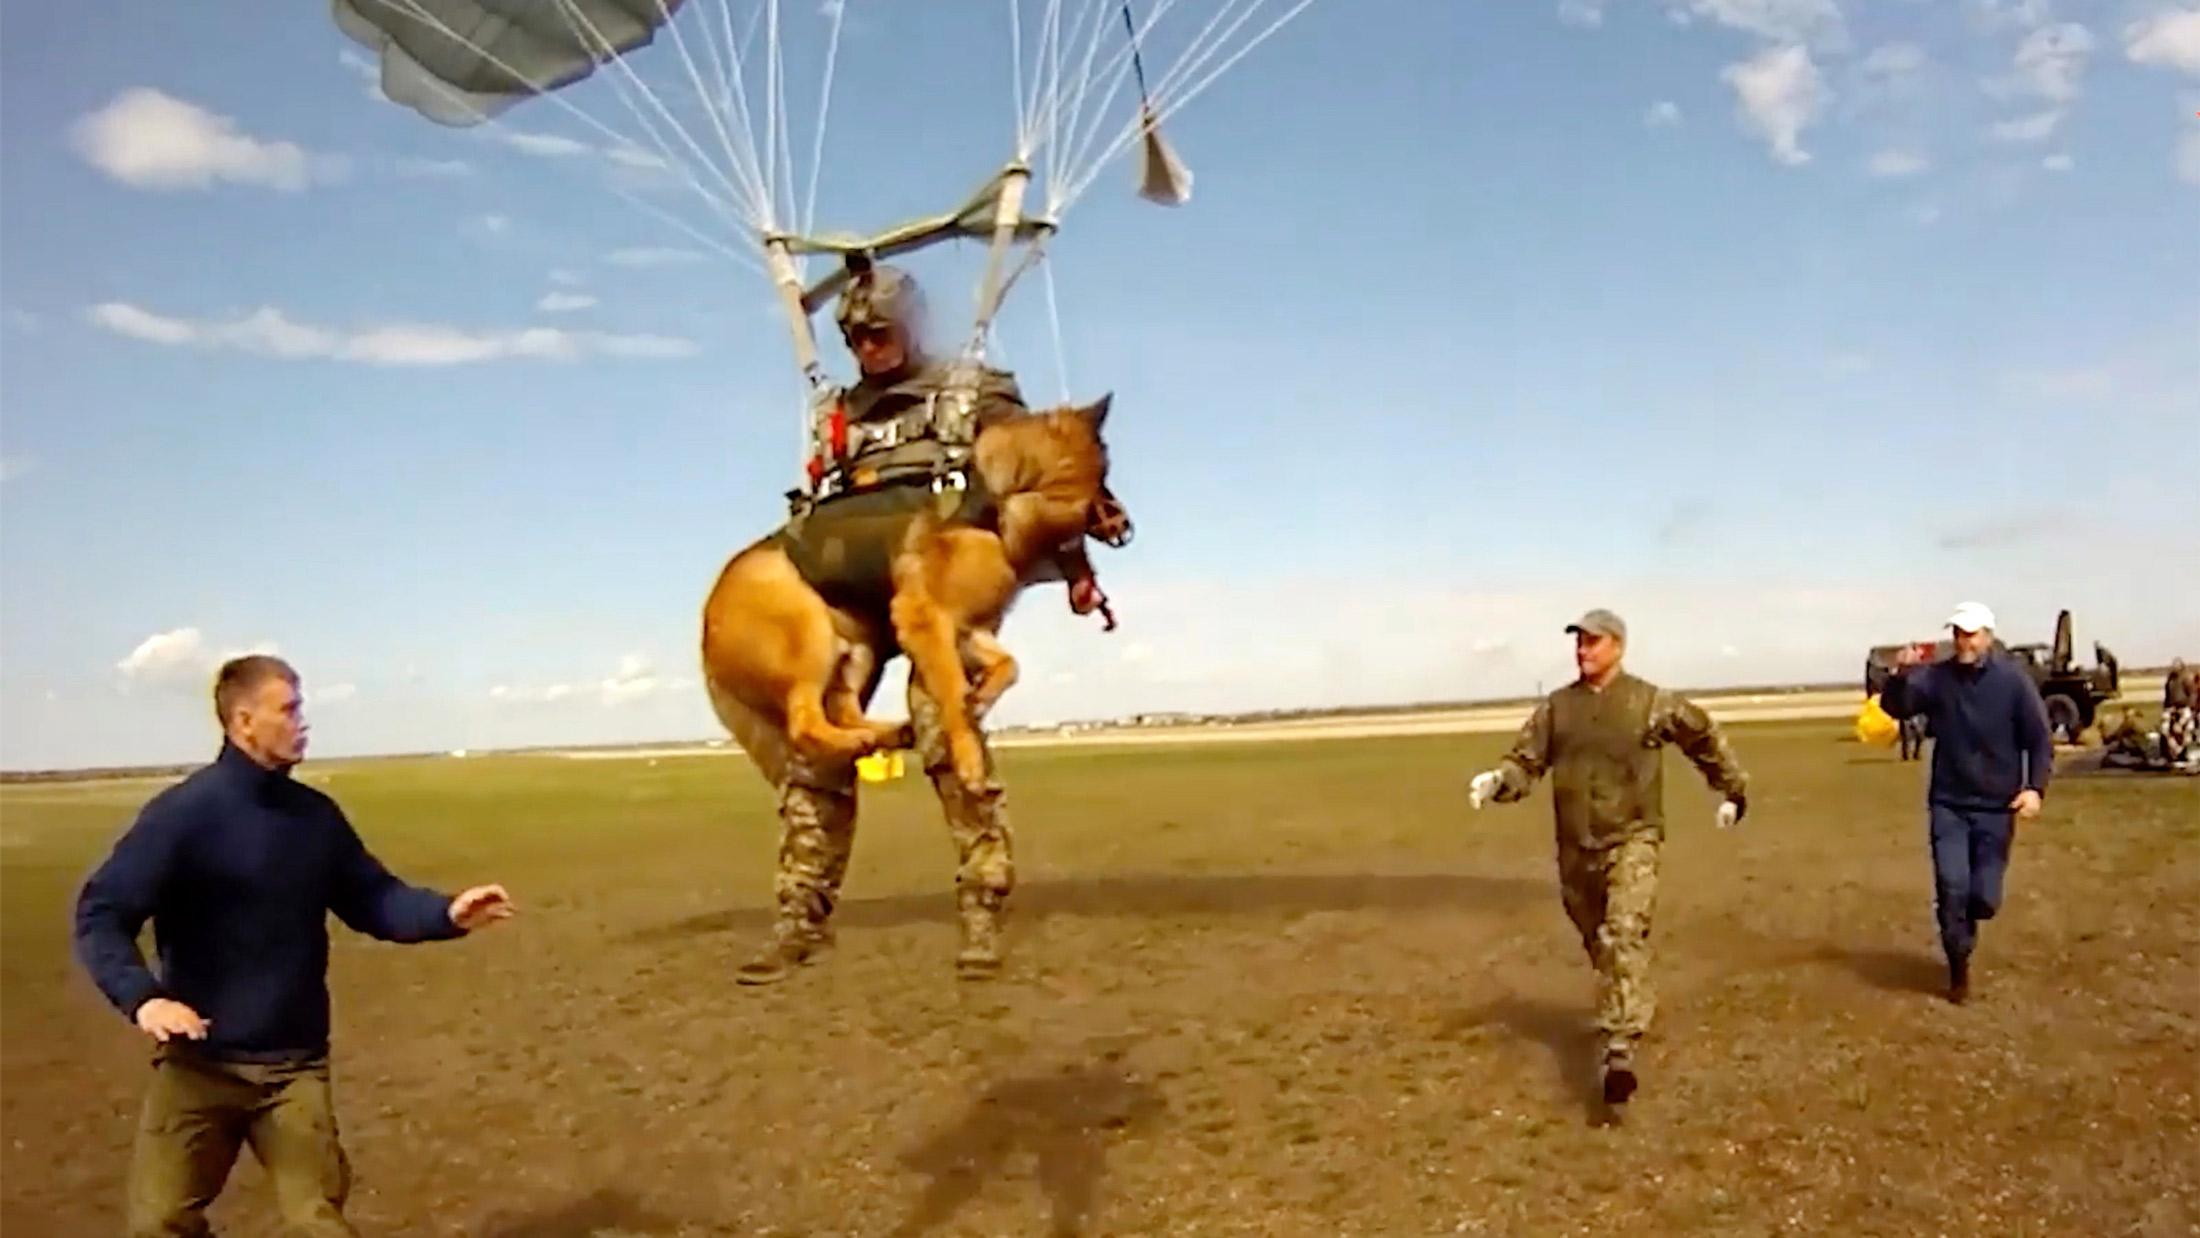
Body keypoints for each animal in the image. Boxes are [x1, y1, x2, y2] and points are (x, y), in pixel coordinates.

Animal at [699, 391, 1117, 791]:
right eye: (1102, 477)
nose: (1124, 527)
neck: (996, 506)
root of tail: (706, 625)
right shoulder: (925, 619)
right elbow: (951, 688)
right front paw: (969, 760)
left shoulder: (967, 629)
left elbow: (1008, 666)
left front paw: (981, 695)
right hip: (808, 638)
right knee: (805, 727)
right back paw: (866, 740)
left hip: (859, 649)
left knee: (844, 712)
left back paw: (888, 734)